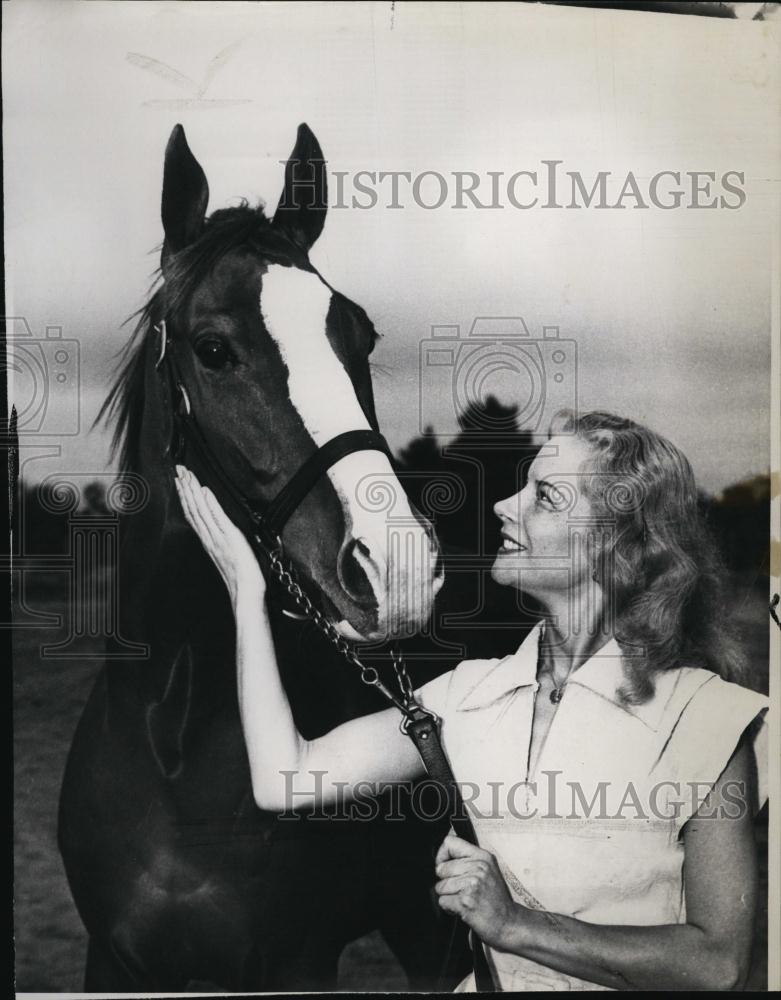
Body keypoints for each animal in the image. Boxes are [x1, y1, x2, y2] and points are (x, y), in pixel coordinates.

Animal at [59, 125, 464, 992]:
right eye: (213, 349)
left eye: (361, 336)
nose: (398, 567)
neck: (173, 737)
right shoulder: (110, 960)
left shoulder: (294, 961)